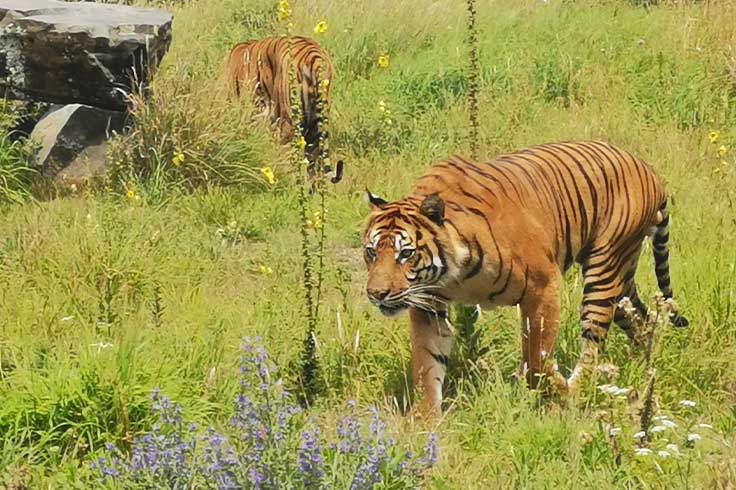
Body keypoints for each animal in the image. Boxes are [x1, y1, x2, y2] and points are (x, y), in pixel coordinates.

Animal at [362, 140, 688, 416]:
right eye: (371, 252)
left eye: (406, 254)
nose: (376, 294)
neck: (456, 273)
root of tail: (649, 170)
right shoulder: (428, 305)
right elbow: (427, 366)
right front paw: (424, 423)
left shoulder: (542, 286)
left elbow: (536, 357)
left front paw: (554, 390)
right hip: (623, 282)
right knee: (642, 323)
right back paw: (644, 366)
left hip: (604, 270)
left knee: (592, 343)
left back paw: (578, 391)